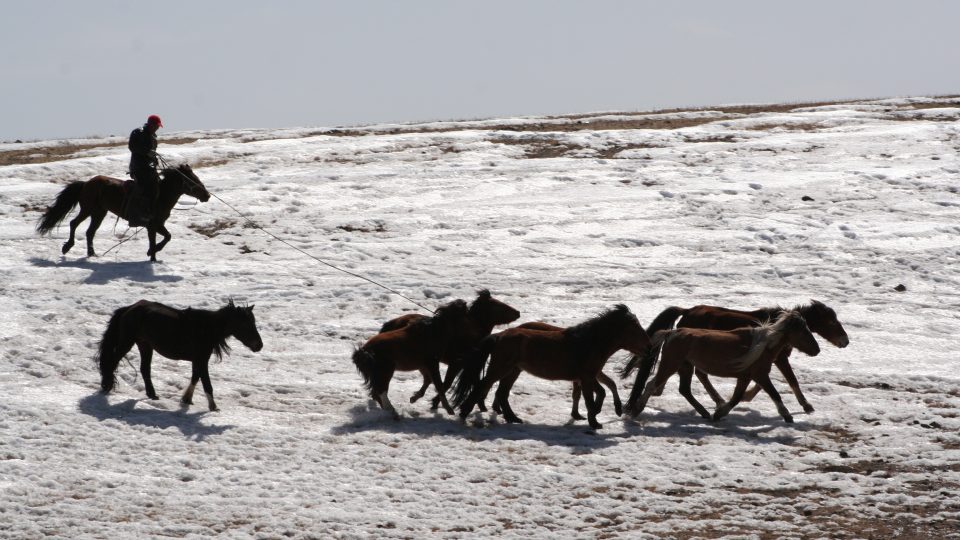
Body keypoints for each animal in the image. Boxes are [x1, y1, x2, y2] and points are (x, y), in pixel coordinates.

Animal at [37, 163, 212, 262]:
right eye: (191, 179)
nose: (207, 195)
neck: (160, 196)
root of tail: (86, 183)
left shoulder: (156, 225)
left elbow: (165, 237)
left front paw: (152, 255)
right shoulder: (152, 225)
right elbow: (162, 239)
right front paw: (152, 254)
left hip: (99, 213)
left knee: (90, 232)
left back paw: (92, 254)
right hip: (88, 209)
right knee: (74, 224)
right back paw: (67, 247)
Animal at [95, 300, 264, 410]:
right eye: (245, 324)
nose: (259, 345)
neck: (206, 328)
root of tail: (129, 308)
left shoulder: (198, 360)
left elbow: (195, 377)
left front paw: (186, 399)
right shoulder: (202, 359)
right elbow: (206, 383)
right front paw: (213, 407)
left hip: (145, 345)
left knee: (144, 369)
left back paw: (152, 394)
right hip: (127, 342)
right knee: (112, 362)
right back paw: (106, 386)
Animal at [378, 292, 520, 410]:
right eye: (499, 305)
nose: (518, 312)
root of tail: (393, 322)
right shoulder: (456, 364)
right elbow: (447, 383)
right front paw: (435, 403)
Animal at [452, 306, 652, 428]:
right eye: (634, 329)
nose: (649, 348)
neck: (588, 343)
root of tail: (500, 335)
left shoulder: (588, 376)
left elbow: (601, 391)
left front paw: (595, 415)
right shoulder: (587, 377)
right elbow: (595, 395)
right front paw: (594, 421)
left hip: (513, 370)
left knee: (501, 393)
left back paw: (513, 418)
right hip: (501, 369)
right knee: (483, 387)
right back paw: (464, 413)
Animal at [628, 302, 852, 412]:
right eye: (831, 321)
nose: (845, 341)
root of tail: (687, 310)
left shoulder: (768, 360)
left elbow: (762, 381)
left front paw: (745, 396)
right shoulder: (779, 359)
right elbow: (791, 380)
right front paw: (806, 406)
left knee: (698, 374)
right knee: (699, 375)